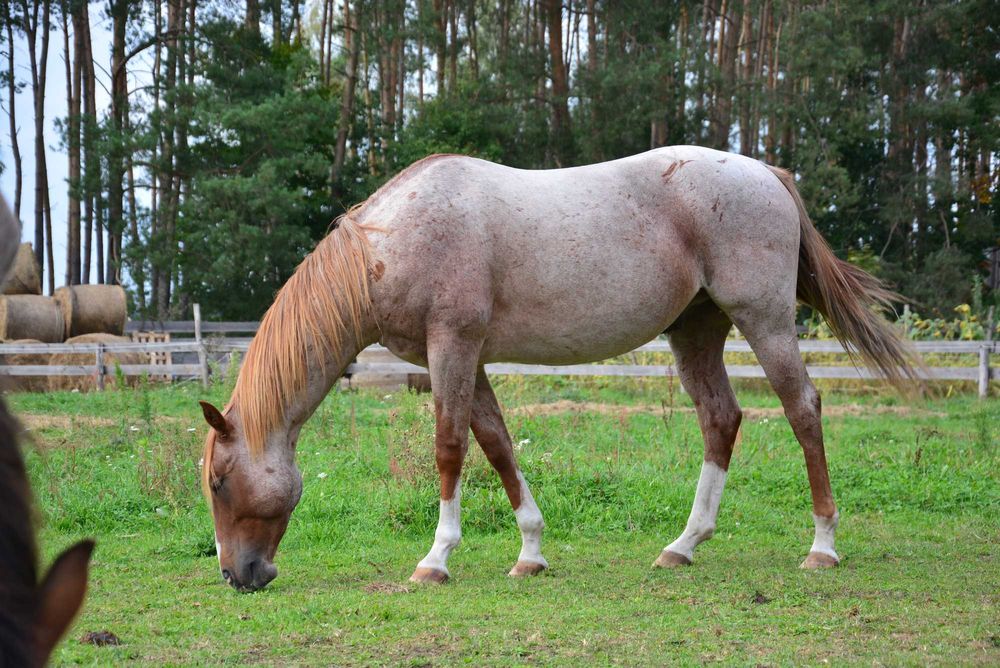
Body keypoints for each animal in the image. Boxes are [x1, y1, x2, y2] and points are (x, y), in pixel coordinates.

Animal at [199, 146, 918, 591]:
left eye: (218, 482)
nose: (239, 575)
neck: (394, 242)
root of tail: (767, 172)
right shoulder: (466, 358)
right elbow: (497, 446)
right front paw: (531, 553)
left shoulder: (452, 346)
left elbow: (450, 448)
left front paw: (436, 559)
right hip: (697, 331)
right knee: (721, 418)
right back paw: (684, 545)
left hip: (763, 318)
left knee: (803, 410)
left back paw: (822, 546)